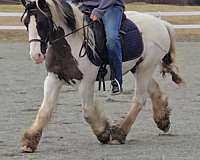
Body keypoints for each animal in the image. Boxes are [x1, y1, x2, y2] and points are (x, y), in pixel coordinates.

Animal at [19, 0, 183, 153]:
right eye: (26, 23)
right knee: (154, 90)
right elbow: (45, 110)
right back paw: (162, 120)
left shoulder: (86, 82)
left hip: (145, 69)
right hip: (138, 68)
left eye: (42, 23)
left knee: (139, 100)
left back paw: (119, 134)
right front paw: (29, 142)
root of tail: (161, 23)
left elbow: (87, 111)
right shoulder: (53, 79)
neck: (71, 43)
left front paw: (103, 133)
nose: (36, 55)